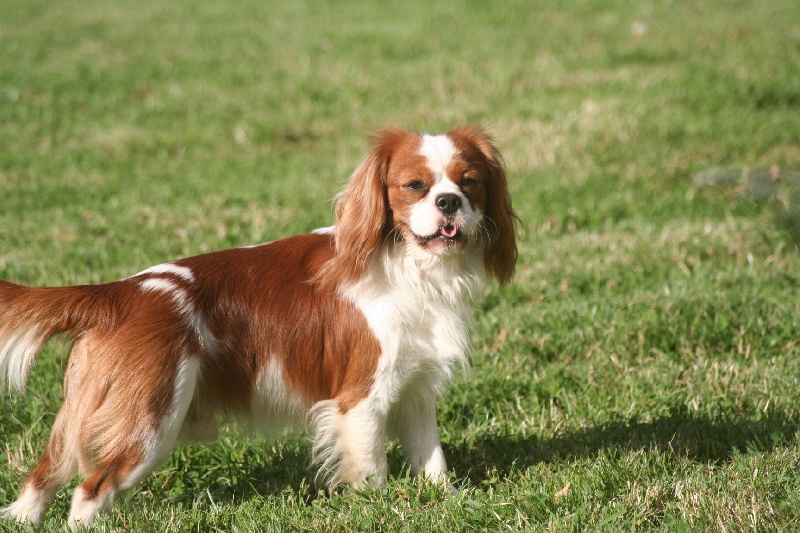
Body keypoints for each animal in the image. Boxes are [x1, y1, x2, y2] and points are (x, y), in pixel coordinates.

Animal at [0, 125, 520, 528]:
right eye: (414, 185)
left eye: (470, 182)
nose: (449, 201)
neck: (409, 266)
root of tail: (119, 293)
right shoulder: (360, 400)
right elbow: (373, 469)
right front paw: (382, 508)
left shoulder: (415, 391)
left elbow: (432, 460)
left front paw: (446, 501)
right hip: (150, 422)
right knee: (88, 491)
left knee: (45, 471)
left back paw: (23, 516)